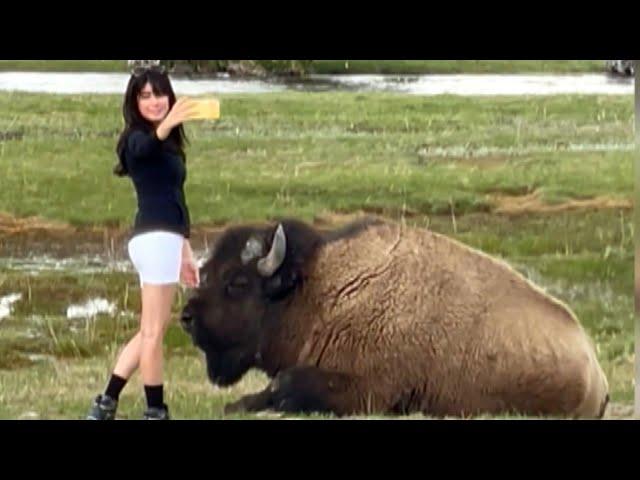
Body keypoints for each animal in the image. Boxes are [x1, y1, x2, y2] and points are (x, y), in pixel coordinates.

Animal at [180, 216, 608, 418]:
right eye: (206, 272)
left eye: (237, 282)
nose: (186, 317)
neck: (320, 290)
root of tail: (594, 368)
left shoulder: (370, 389)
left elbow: (286, 384)